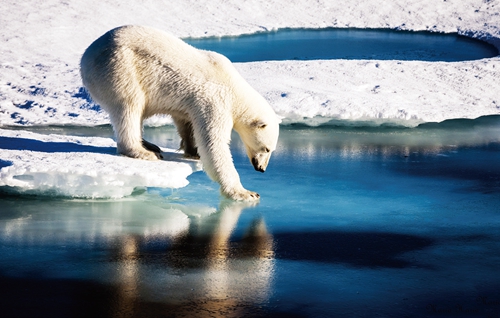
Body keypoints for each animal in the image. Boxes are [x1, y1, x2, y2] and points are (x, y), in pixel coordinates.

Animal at [80, 24, 280, 200]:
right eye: (266, 148)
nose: (261, 168)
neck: (234, 87)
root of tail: (86, 56)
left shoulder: (192, 103)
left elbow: (186, 122)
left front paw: (193, 151)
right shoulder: (215, 101)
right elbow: (214, 144)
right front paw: (245, 193)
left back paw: (150, 145)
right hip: (120, 69)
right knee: (129, 107)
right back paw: (143, 151)